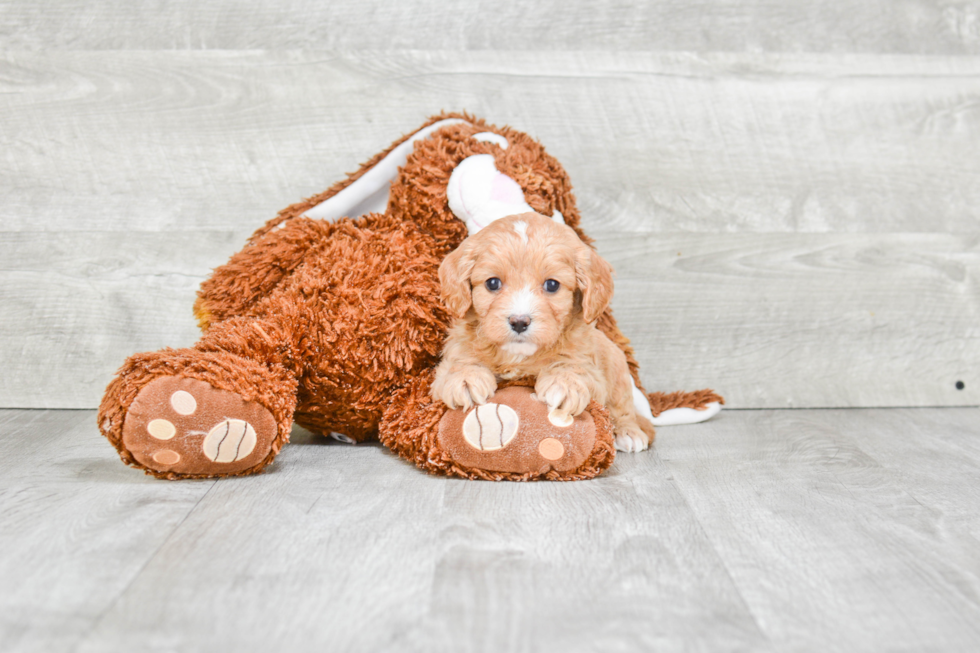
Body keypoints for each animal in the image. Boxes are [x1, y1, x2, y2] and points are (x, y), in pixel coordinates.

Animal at [430, 211, 656, 450]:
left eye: (552, 285)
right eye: (492, 283)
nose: (519, 322)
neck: (518, 356)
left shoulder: (592, 369)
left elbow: (574, 366)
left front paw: (564, 383)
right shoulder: (449, 359)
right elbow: (459, 363)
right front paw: (465, 379)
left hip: (616, 365)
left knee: (622, 406)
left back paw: (628, 432)